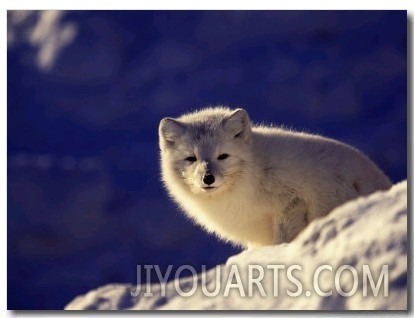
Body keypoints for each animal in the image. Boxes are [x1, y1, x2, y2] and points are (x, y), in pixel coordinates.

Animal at [158, 107, 392, 248]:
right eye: (191, 158)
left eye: (223, 156)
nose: (208, 178)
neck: (253, 174)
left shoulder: (291, 202)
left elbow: (283, 241)